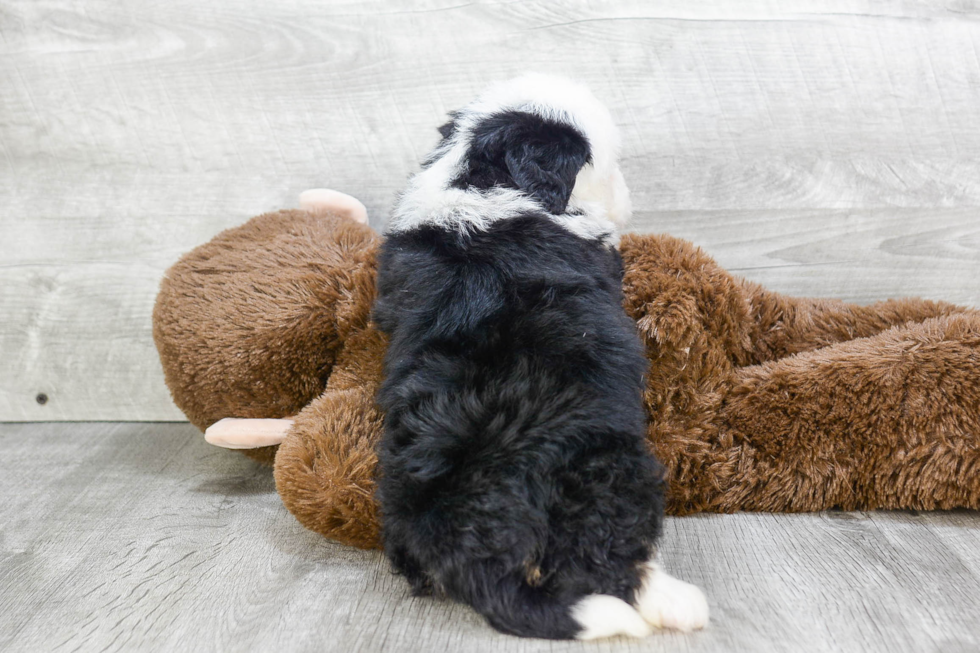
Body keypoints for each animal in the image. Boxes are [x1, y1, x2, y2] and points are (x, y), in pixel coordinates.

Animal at [370, 75, 704, 636]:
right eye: (608, 167)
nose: (630, 197)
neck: (482, 179)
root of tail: (464, 537)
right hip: (609, 474)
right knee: (609, 559)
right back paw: (674, 601)